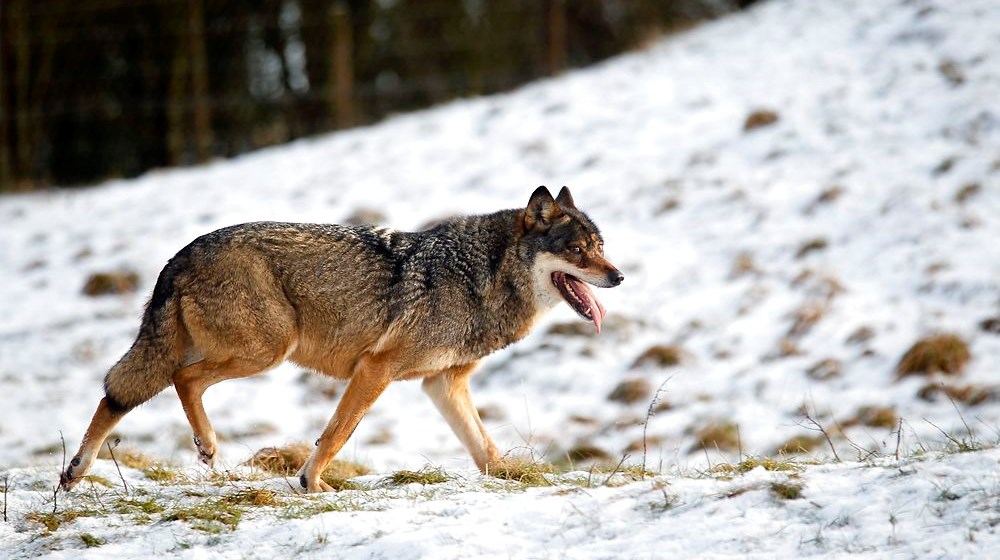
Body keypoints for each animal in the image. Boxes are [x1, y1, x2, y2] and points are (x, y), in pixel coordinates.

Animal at [58, 186, 620, 492]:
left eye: (600, 246)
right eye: (576, 250)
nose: (618, 276)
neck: (481, 277)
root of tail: (182, 253)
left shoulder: (442, 385)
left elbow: (485, 450)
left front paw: (513, 478)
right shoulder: (377, 368)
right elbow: (337, 432)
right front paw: (311, 483)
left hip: (215, 349)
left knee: (118, 393)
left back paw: (76, 472)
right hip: (266, 350)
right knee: (180, 380)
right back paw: (209, 448)